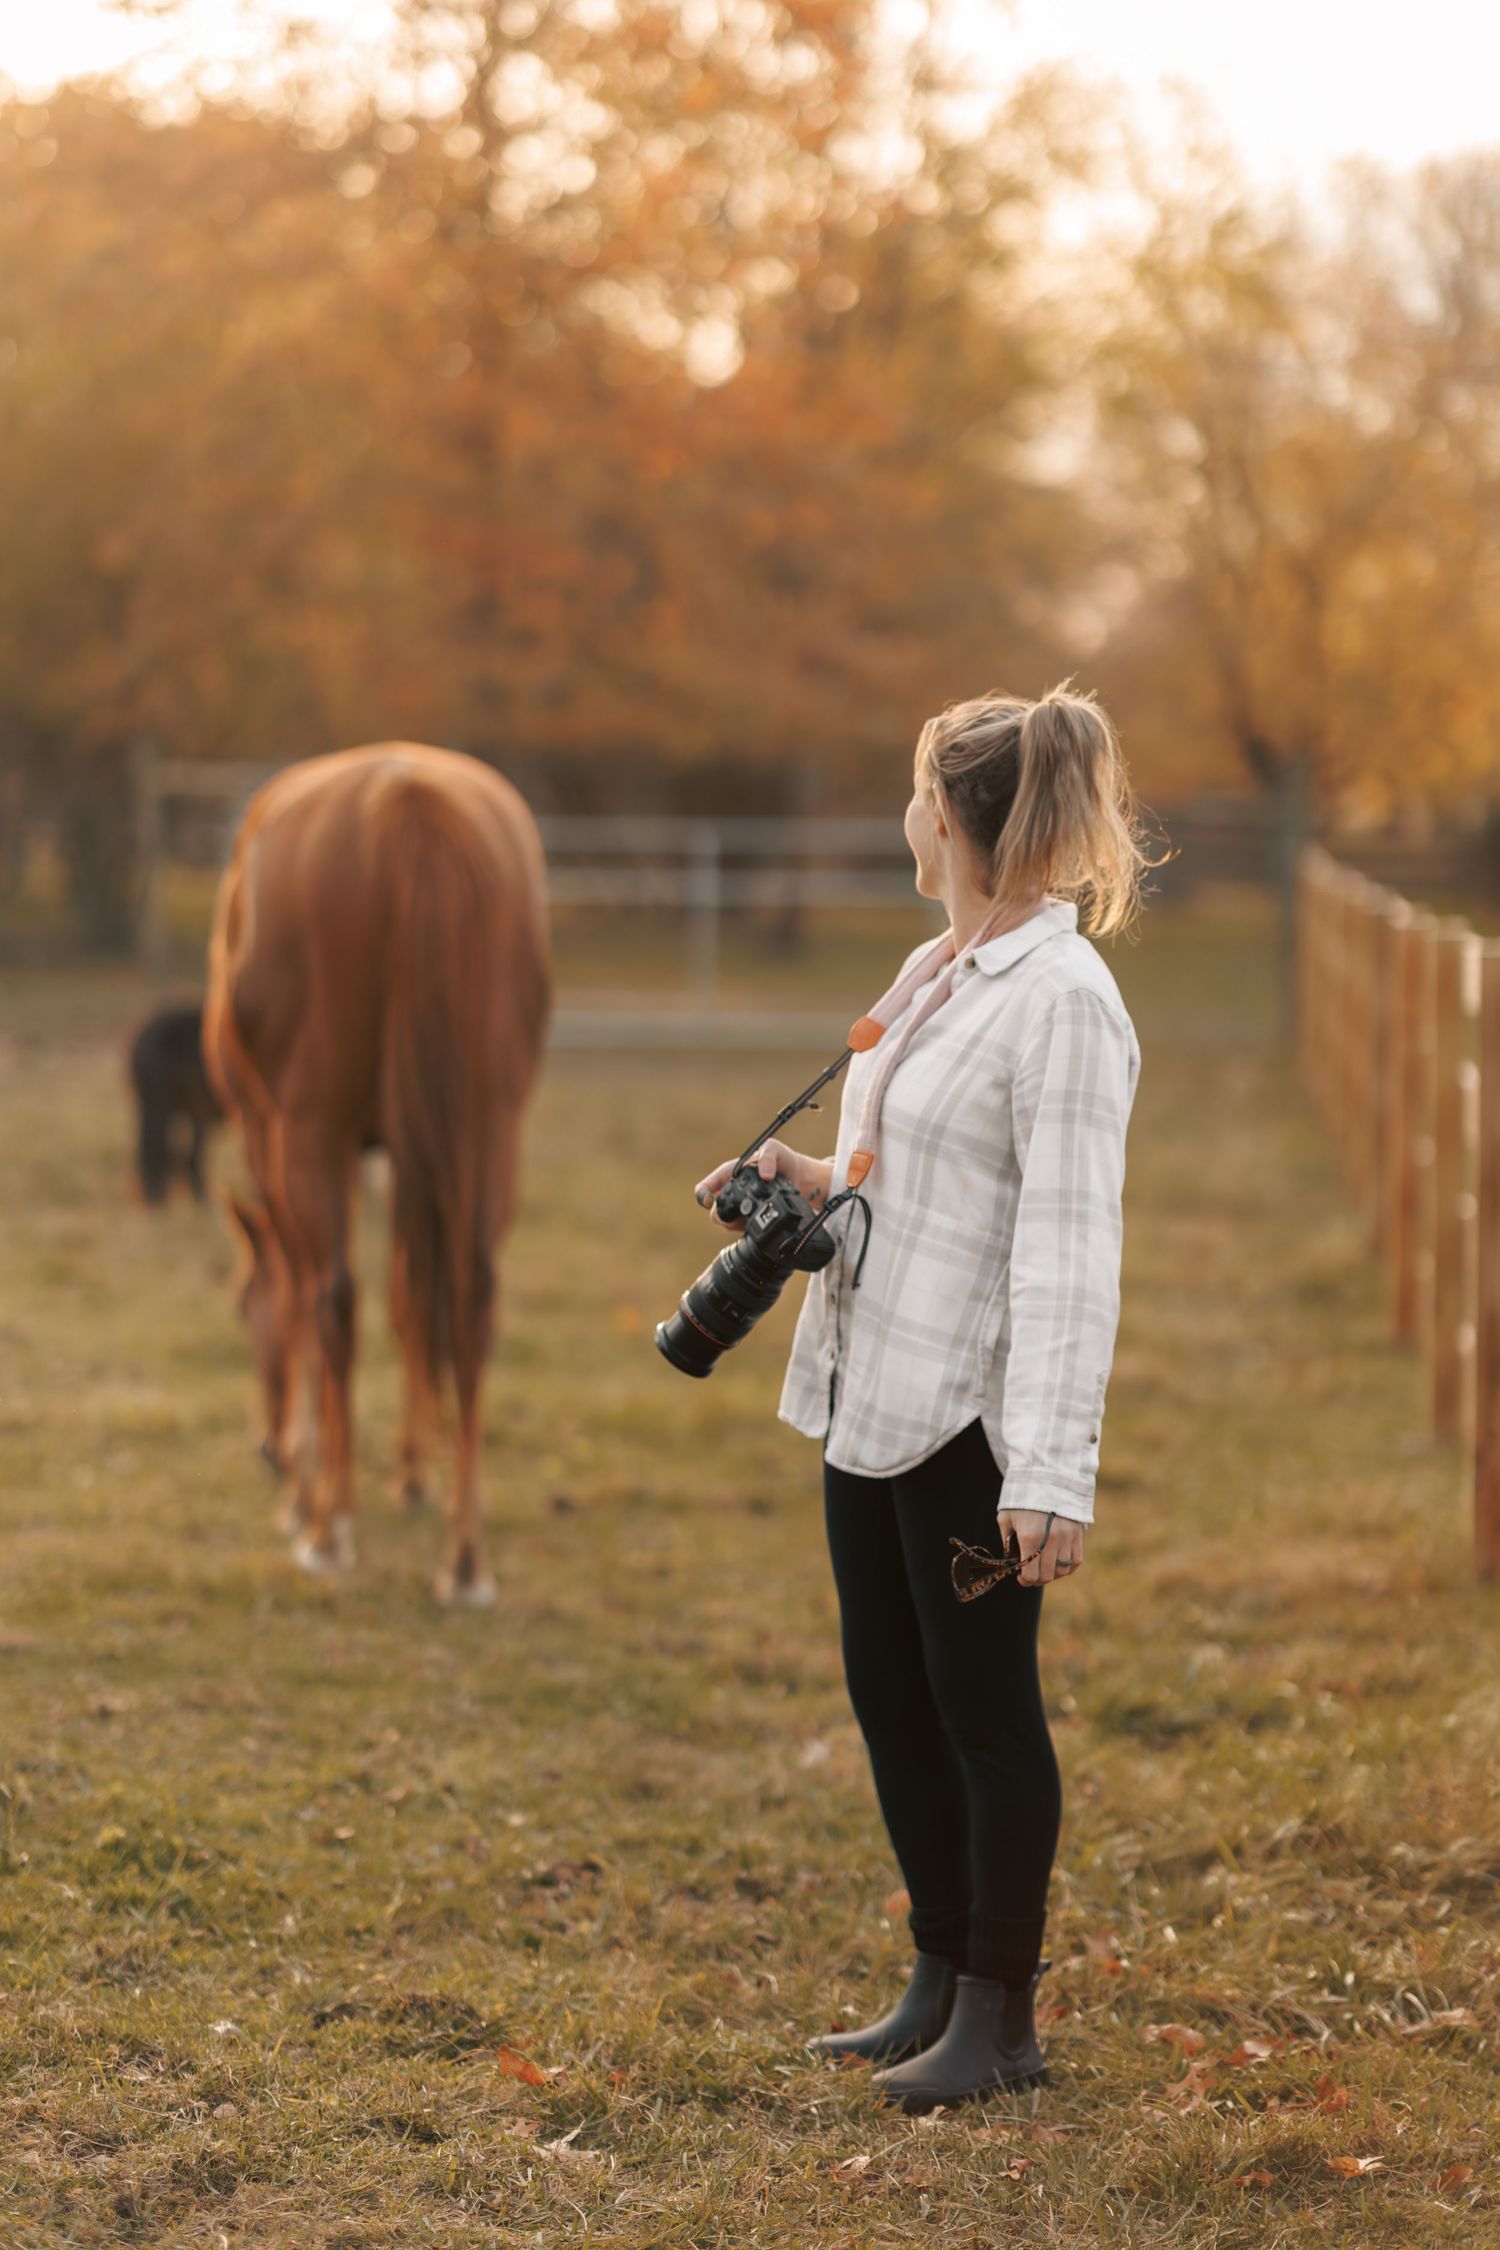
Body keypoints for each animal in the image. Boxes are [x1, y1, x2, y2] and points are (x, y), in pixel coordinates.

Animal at [204, 743, 550, 1604]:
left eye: (240, 1304)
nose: (265, 1451)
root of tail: (407, 800)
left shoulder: (273, 1136)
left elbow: (303, 1299)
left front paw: (311, 1494)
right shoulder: (409, 1153)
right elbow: (411, 1299)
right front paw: (411, 1475)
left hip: (312, 1133)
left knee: (331, 1296)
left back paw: (328, 1534)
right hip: (489, 1126)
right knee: (469, 1295)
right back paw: (465, 1557)